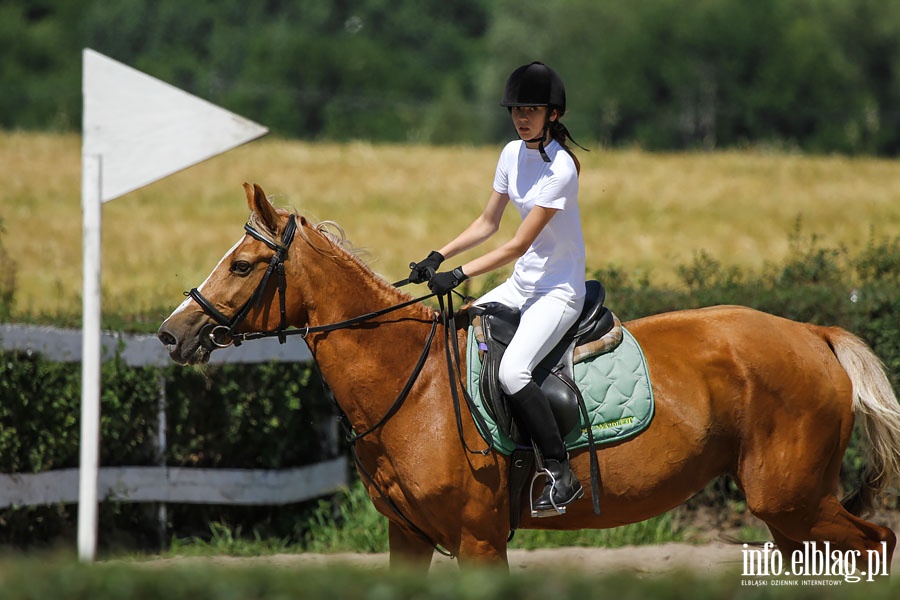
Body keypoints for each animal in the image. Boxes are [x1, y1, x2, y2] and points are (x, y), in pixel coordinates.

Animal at [158, 183, 900, 572]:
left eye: (243, 266)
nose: (171, 332)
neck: (413, 386)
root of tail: (812, 333)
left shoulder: (478, 540)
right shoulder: (409, 538)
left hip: (793, 501)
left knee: (879, 545)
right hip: (793, 514)